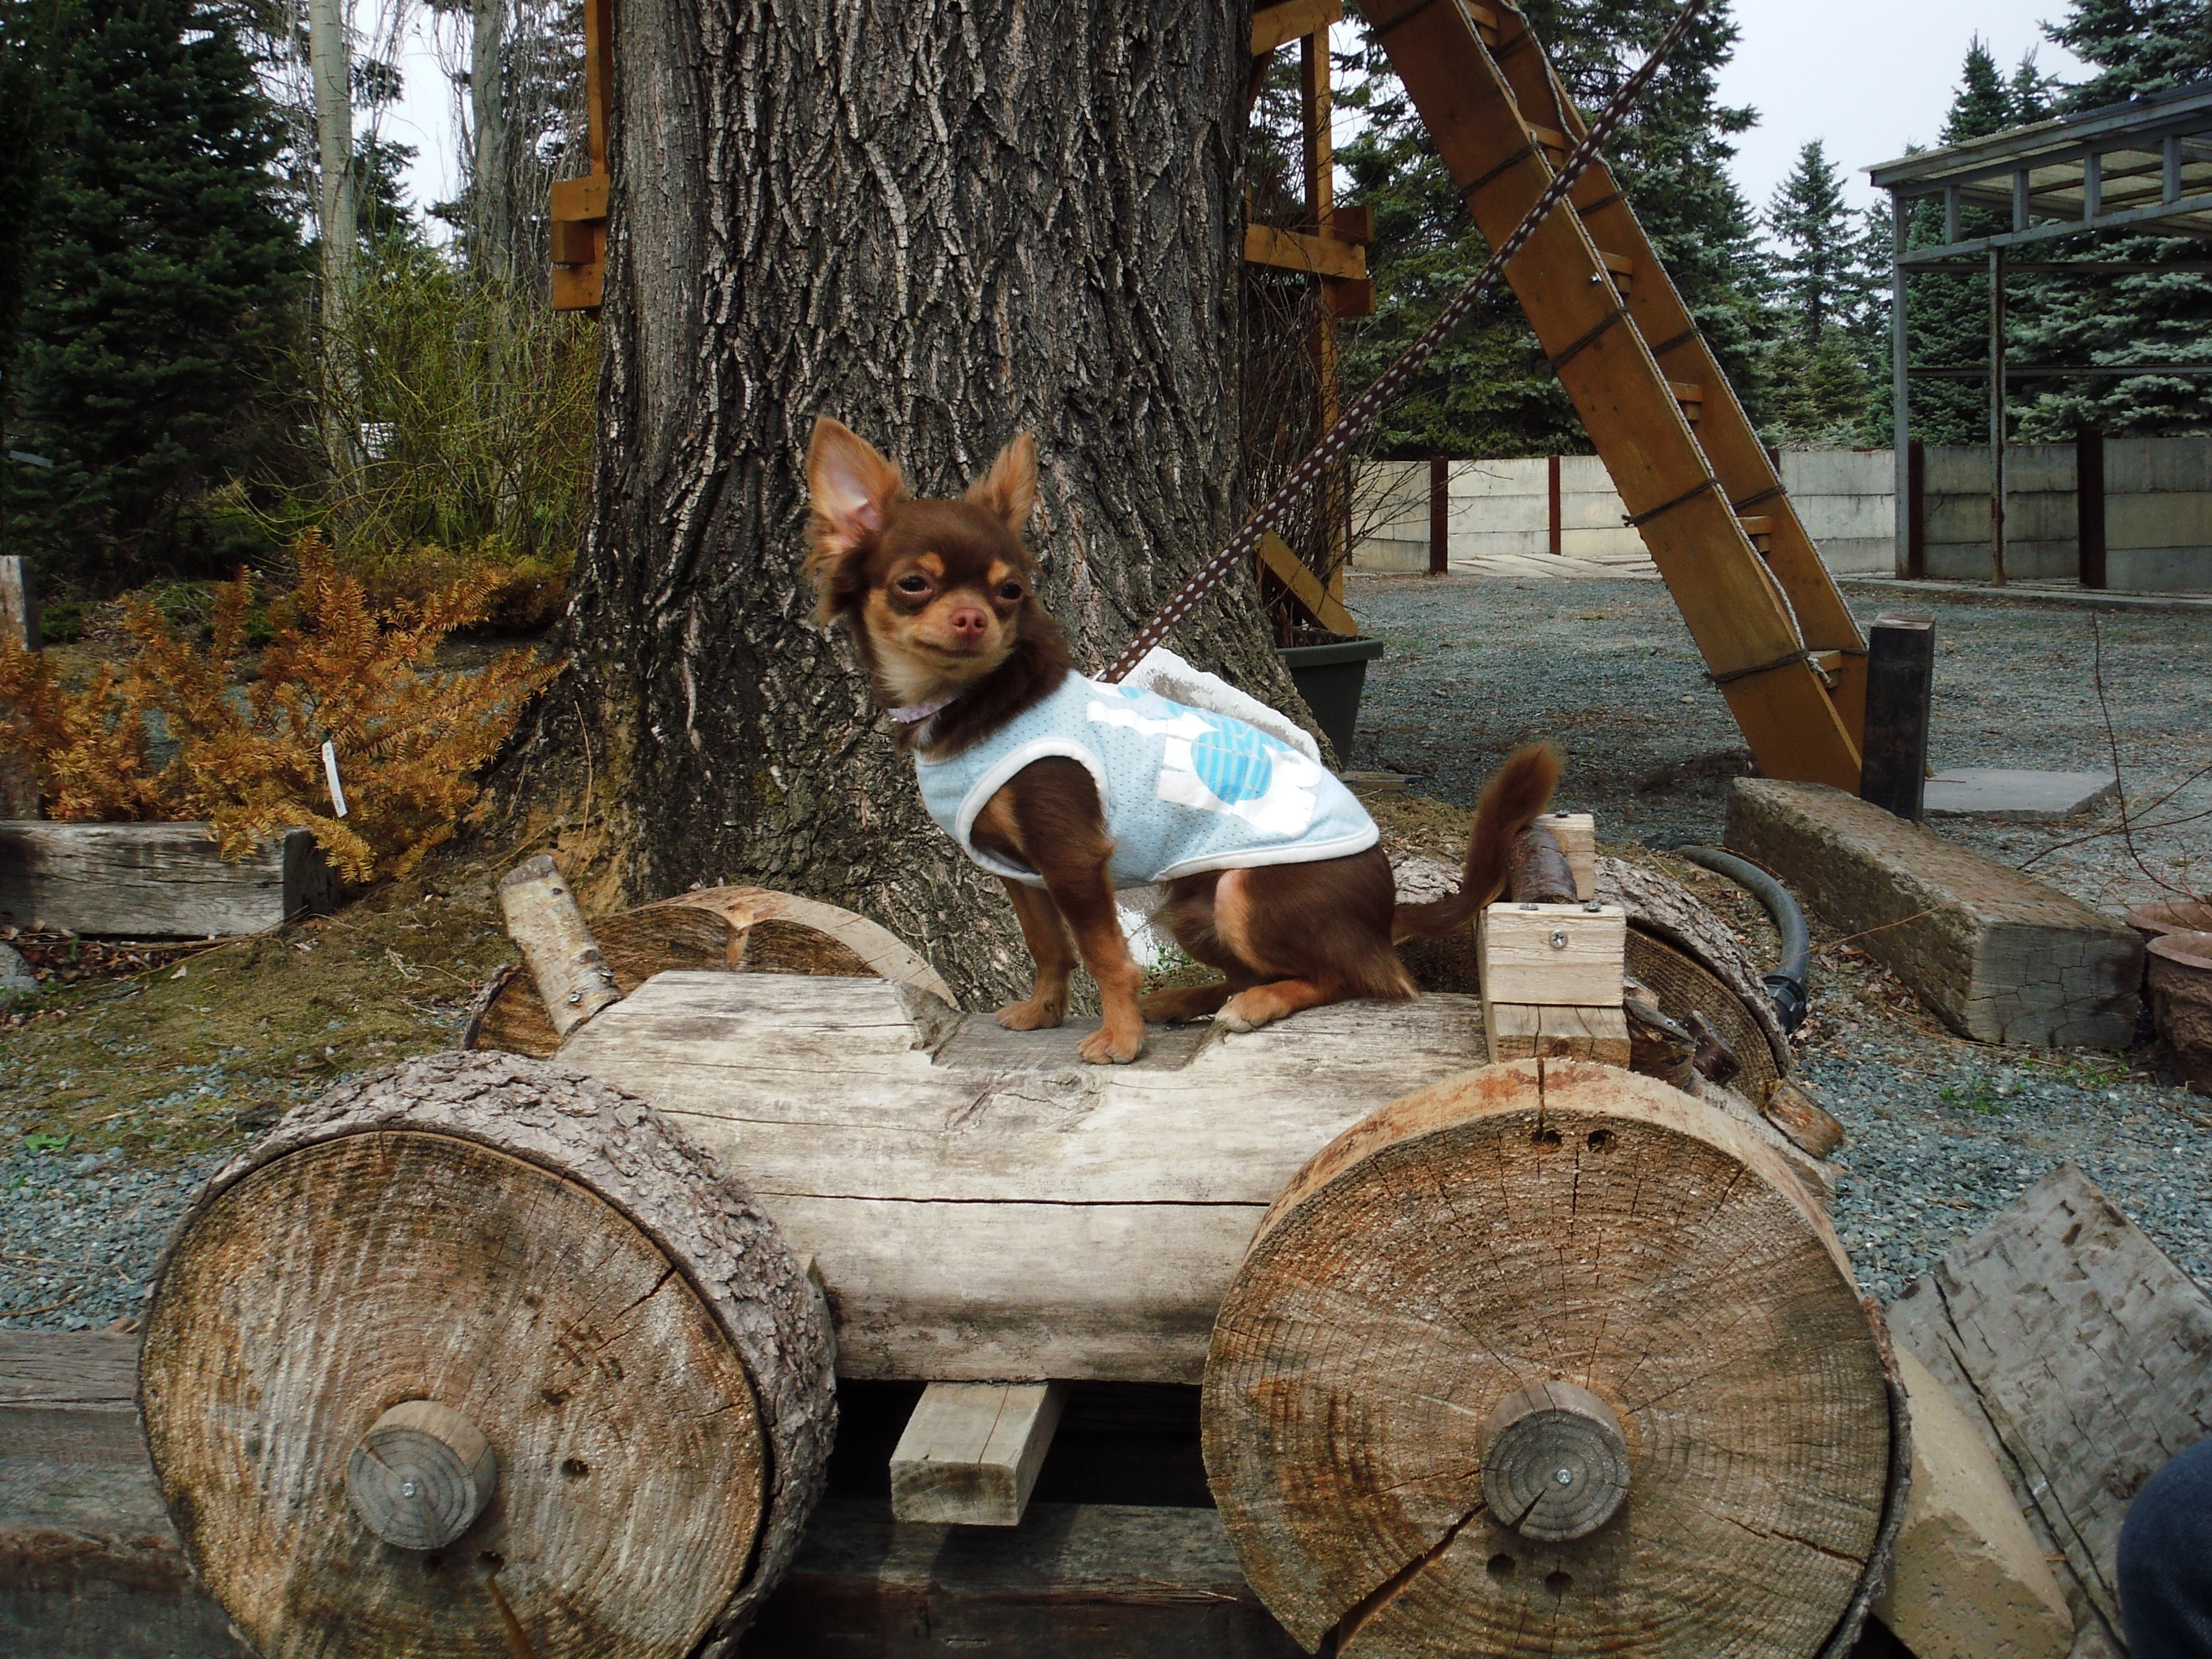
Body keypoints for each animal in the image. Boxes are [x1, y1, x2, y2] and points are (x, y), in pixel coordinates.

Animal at [809, 414, 1557, 1066]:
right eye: (913, 584)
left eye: (1011, 591)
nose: (973, 619)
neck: (976, 703)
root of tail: (1385, 906)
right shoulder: (1019, 871)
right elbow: (1049, 948)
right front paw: (1044, 1013)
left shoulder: (1072, 860)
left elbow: (1106, 955)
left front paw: (1120, 1040)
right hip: (1190, 910)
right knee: (1268, 970)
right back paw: (1190, 1001)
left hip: (1241, 895)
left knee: (1365, 978)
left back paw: (1258, 1004)